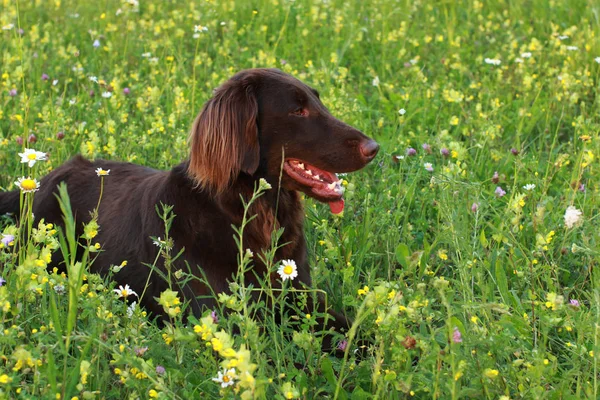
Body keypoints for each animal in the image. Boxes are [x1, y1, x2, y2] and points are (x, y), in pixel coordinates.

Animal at [0, 69, 378, 340]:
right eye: (297, 110)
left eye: (318, 102)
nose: (374, 148)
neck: (249, 214)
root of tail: (37, 184)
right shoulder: (229, 318)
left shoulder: (300, 294)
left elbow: (353, 328)